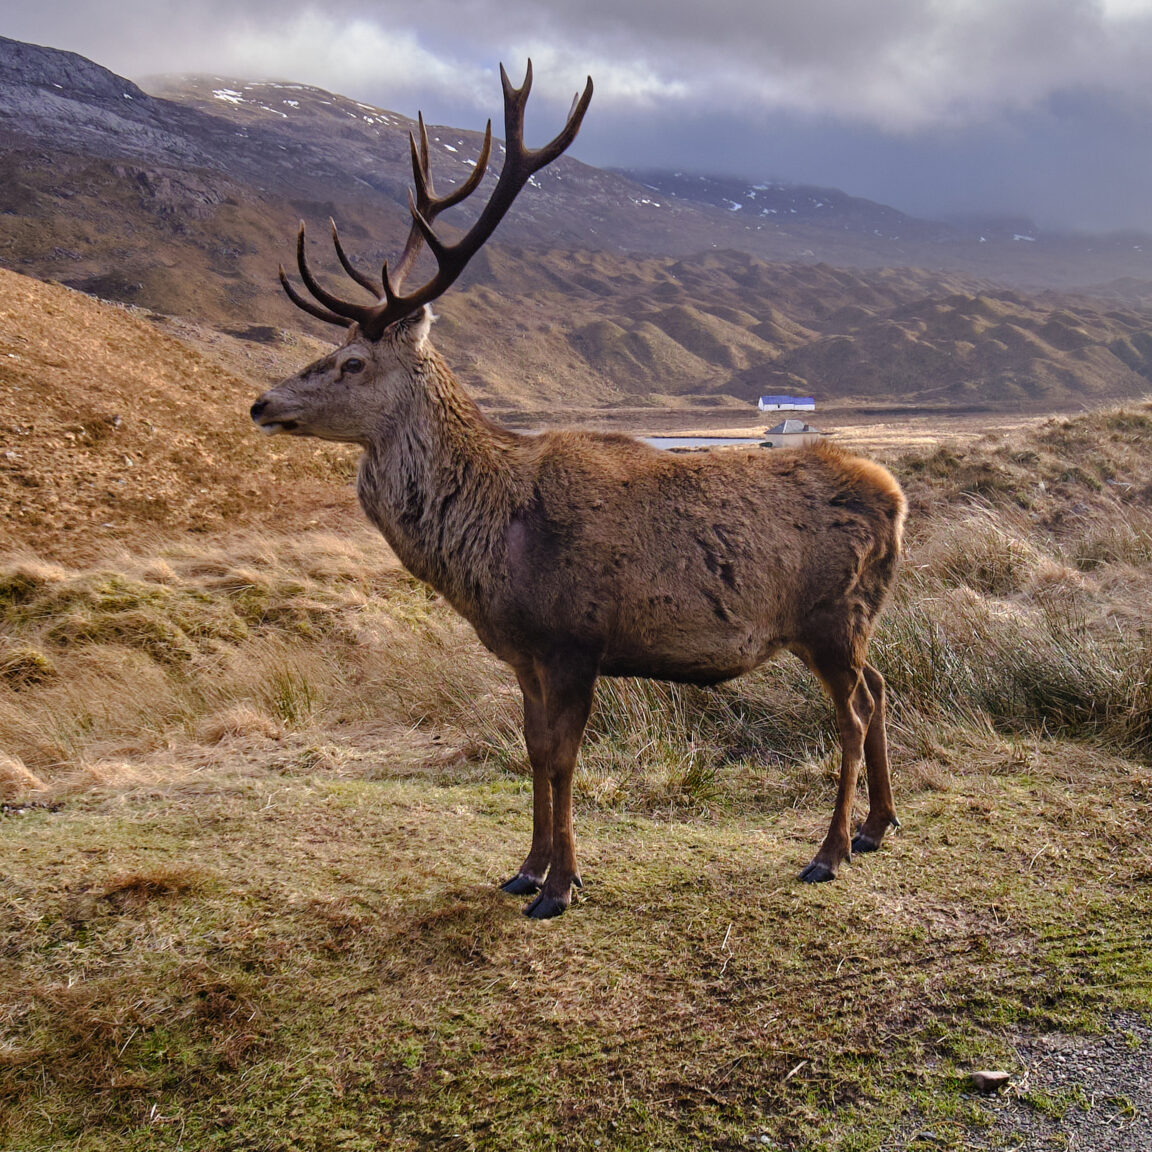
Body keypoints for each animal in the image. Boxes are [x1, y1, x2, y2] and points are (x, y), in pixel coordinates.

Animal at [250, 63, 908, 919]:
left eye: (351, 363)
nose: (263, 403)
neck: (489, 549)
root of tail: (895, 498)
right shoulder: (523, 650)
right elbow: (533, 751)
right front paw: (524, 868)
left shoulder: (574, 638)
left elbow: (563, 757)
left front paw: (561, 886)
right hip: (849, 623)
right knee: (885, 687)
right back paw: (878, 826)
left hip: (830, 613)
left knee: (855, 713)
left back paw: (828, 850)